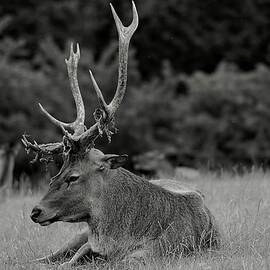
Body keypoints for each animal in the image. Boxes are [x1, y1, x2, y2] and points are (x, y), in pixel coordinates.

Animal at [20, 2, 219, 268]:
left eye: (73, 177)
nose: (35, 211)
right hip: (78, 235)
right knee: (46, 257)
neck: (119, 241)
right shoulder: (87, 244)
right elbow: (67, 262)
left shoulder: (157, 252)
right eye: (56, 173)